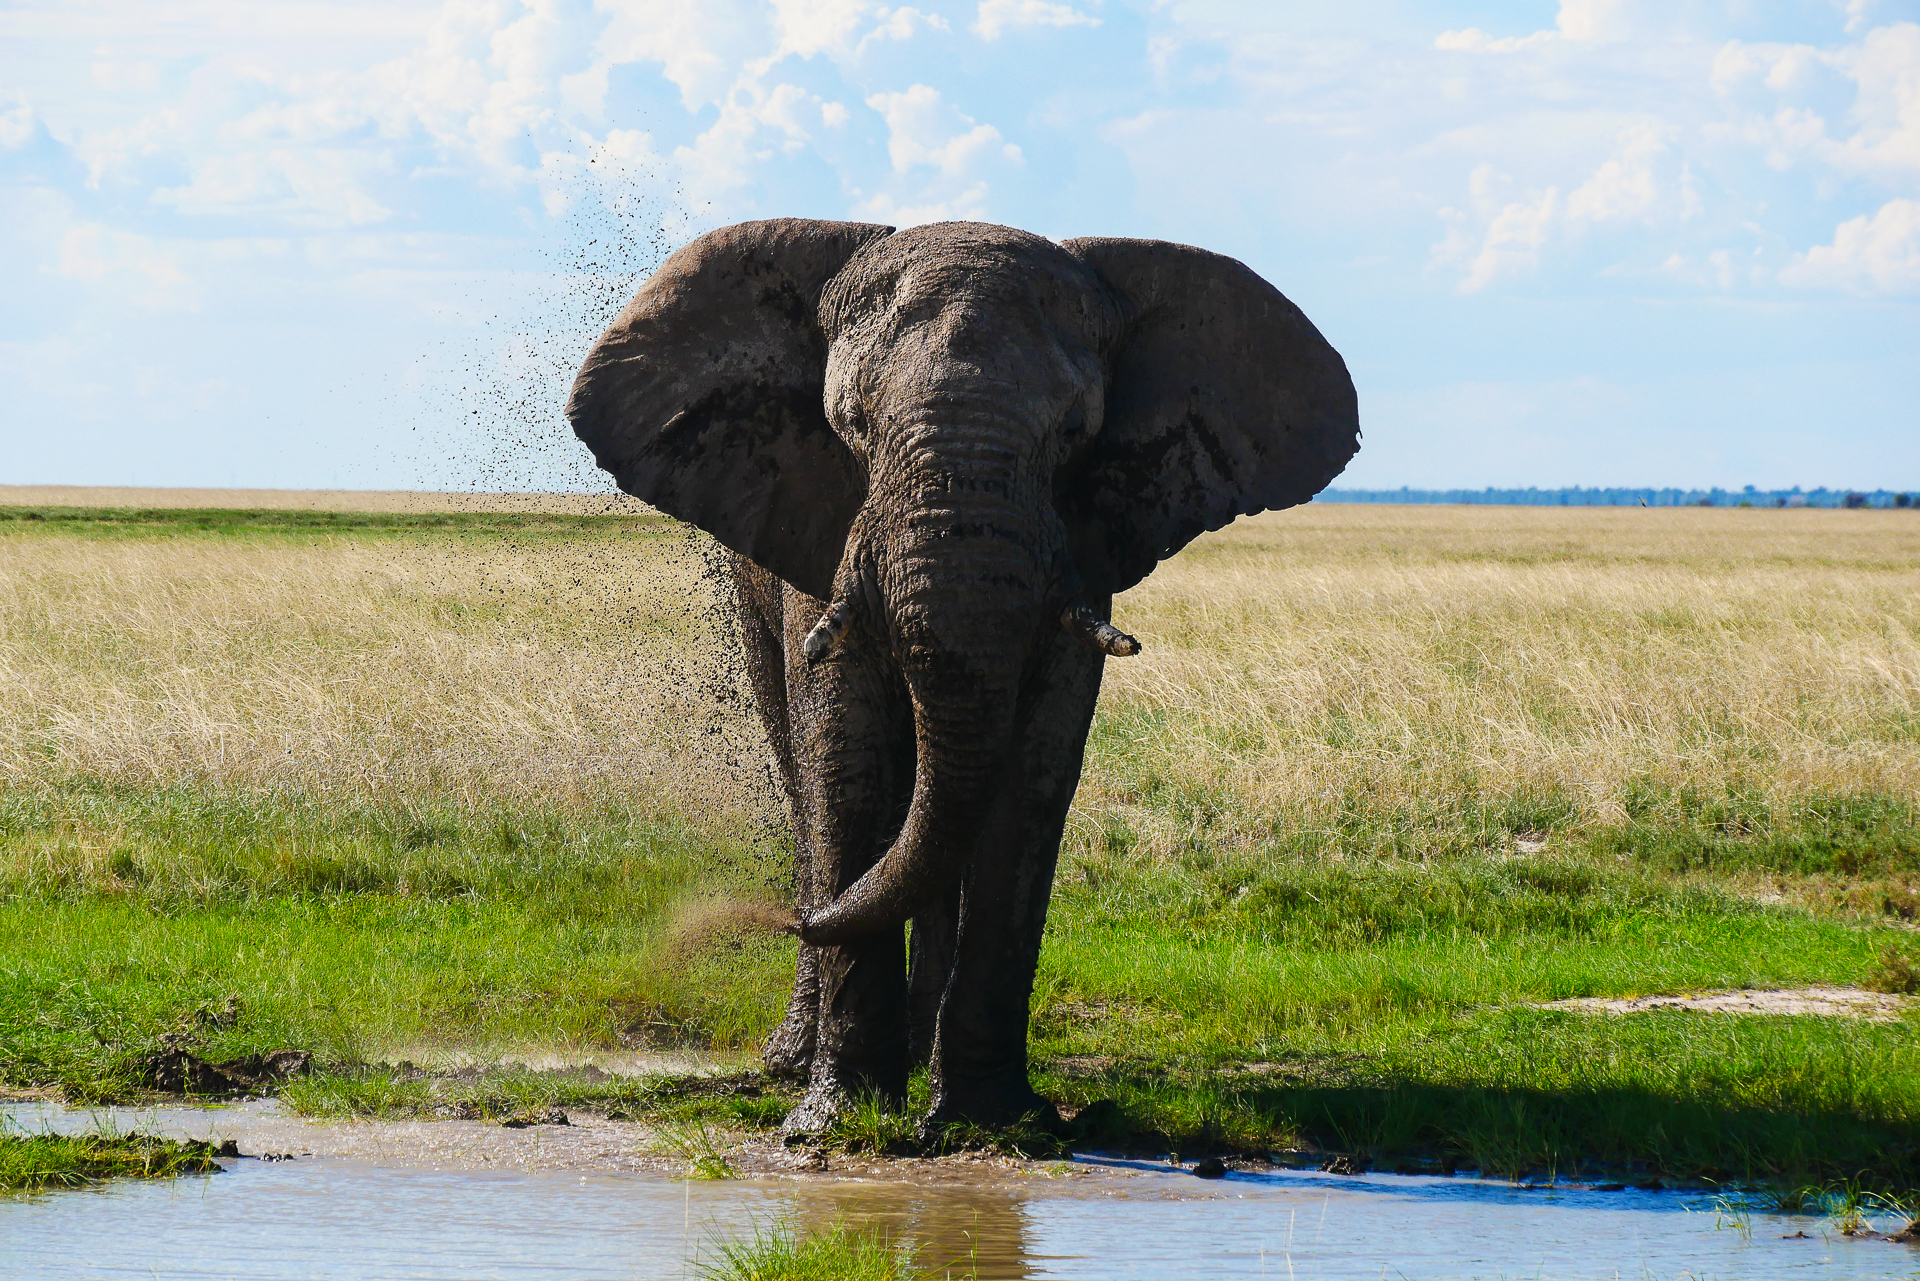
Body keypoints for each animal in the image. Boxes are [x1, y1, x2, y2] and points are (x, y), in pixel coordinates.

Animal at [560, 215, 1359, 1136]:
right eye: (852, 424)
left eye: (1075, 432)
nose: (771, 922)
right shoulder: (820, 523)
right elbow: (846, 755)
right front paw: (838, 1122)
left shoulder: (1080, 544)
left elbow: (1034, 772)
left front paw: (994, 1123)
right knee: (810, 779)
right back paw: (798, 1058)